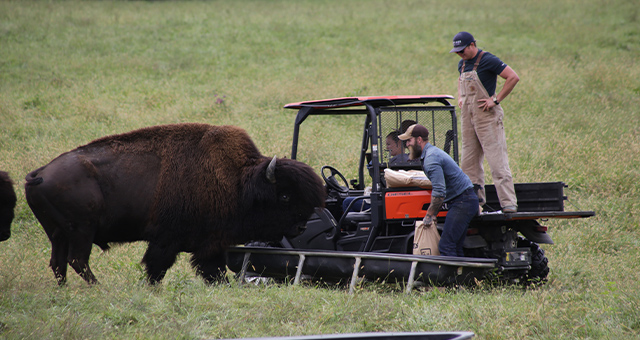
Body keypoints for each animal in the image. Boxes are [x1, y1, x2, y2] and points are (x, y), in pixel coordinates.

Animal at [24, 123, 324, 286]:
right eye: (284, 196)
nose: (301, 227)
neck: (239, 182)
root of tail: (40, 173)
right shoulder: (166, 240)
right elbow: (156, 268)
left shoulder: (210, 245)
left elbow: (214, 272)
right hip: (81, 231)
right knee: (77, 260)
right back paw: (99, 288)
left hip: (58, 234)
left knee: (58, 263)